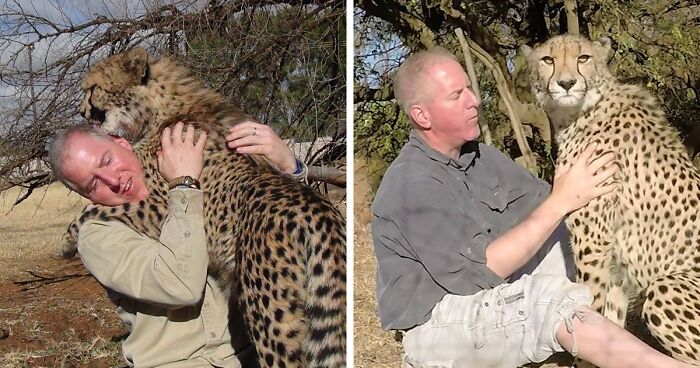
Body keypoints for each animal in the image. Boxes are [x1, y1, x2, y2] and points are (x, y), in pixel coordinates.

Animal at [58, 49, 348, 368]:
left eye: (92, 88)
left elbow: (96, 207)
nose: (81, 112)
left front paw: (67, 240)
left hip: (270, 313)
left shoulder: (158, 203)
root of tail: (320, 209)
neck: (158, 109)